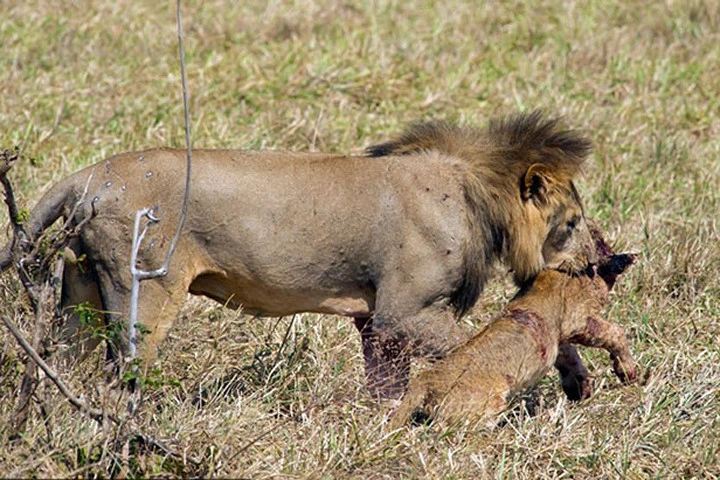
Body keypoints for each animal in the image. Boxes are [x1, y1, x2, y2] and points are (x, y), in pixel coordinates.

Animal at [0, 111, 596, 398]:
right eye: (571, 224)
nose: (601, 263)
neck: (476, 195)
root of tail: (89, 176)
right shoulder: (405, 312)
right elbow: (482, 342)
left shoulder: (375, 322)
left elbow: (386, 386)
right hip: (144, 289)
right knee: (120, 375)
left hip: (81, 292)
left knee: (67, 368)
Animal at [394, 221, 636, 428]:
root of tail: (425, 380)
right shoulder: (576, 319)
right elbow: (614, 333)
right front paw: (629, 372)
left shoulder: (557, 339)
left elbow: (571, 358)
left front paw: (580, 390)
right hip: (485, 403)